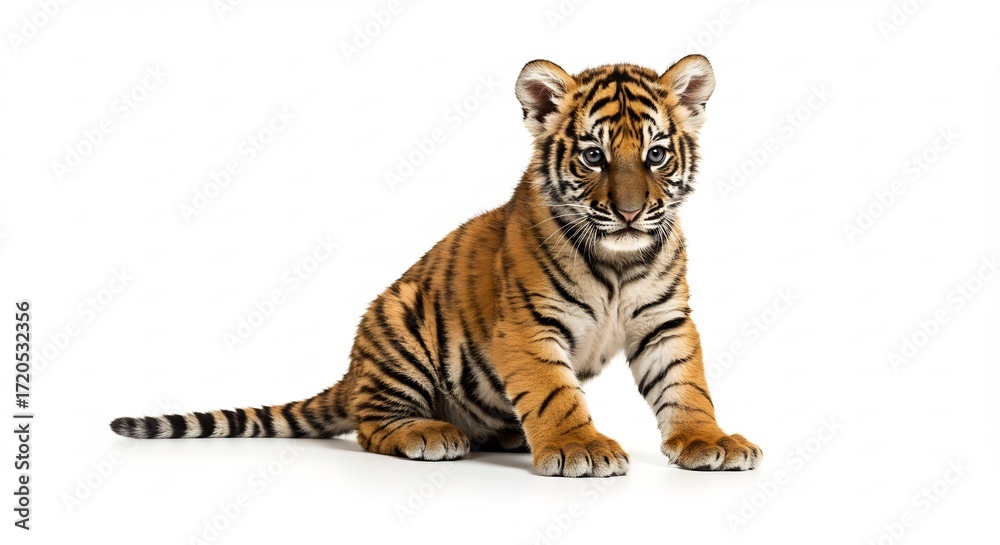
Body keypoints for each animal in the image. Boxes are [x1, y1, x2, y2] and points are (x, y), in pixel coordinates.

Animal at [111, 55, 761, 477]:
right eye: (594, 157)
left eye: (656, 154)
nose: (629, 213)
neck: (619, 259)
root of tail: (352, 373)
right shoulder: (528, 326)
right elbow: (555, 392)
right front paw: (581, 446)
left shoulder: (665, 321)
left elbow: (686, 385)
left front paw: (709, 441)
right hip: (401, 319)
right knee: (371, 426)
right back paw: (429, 434)